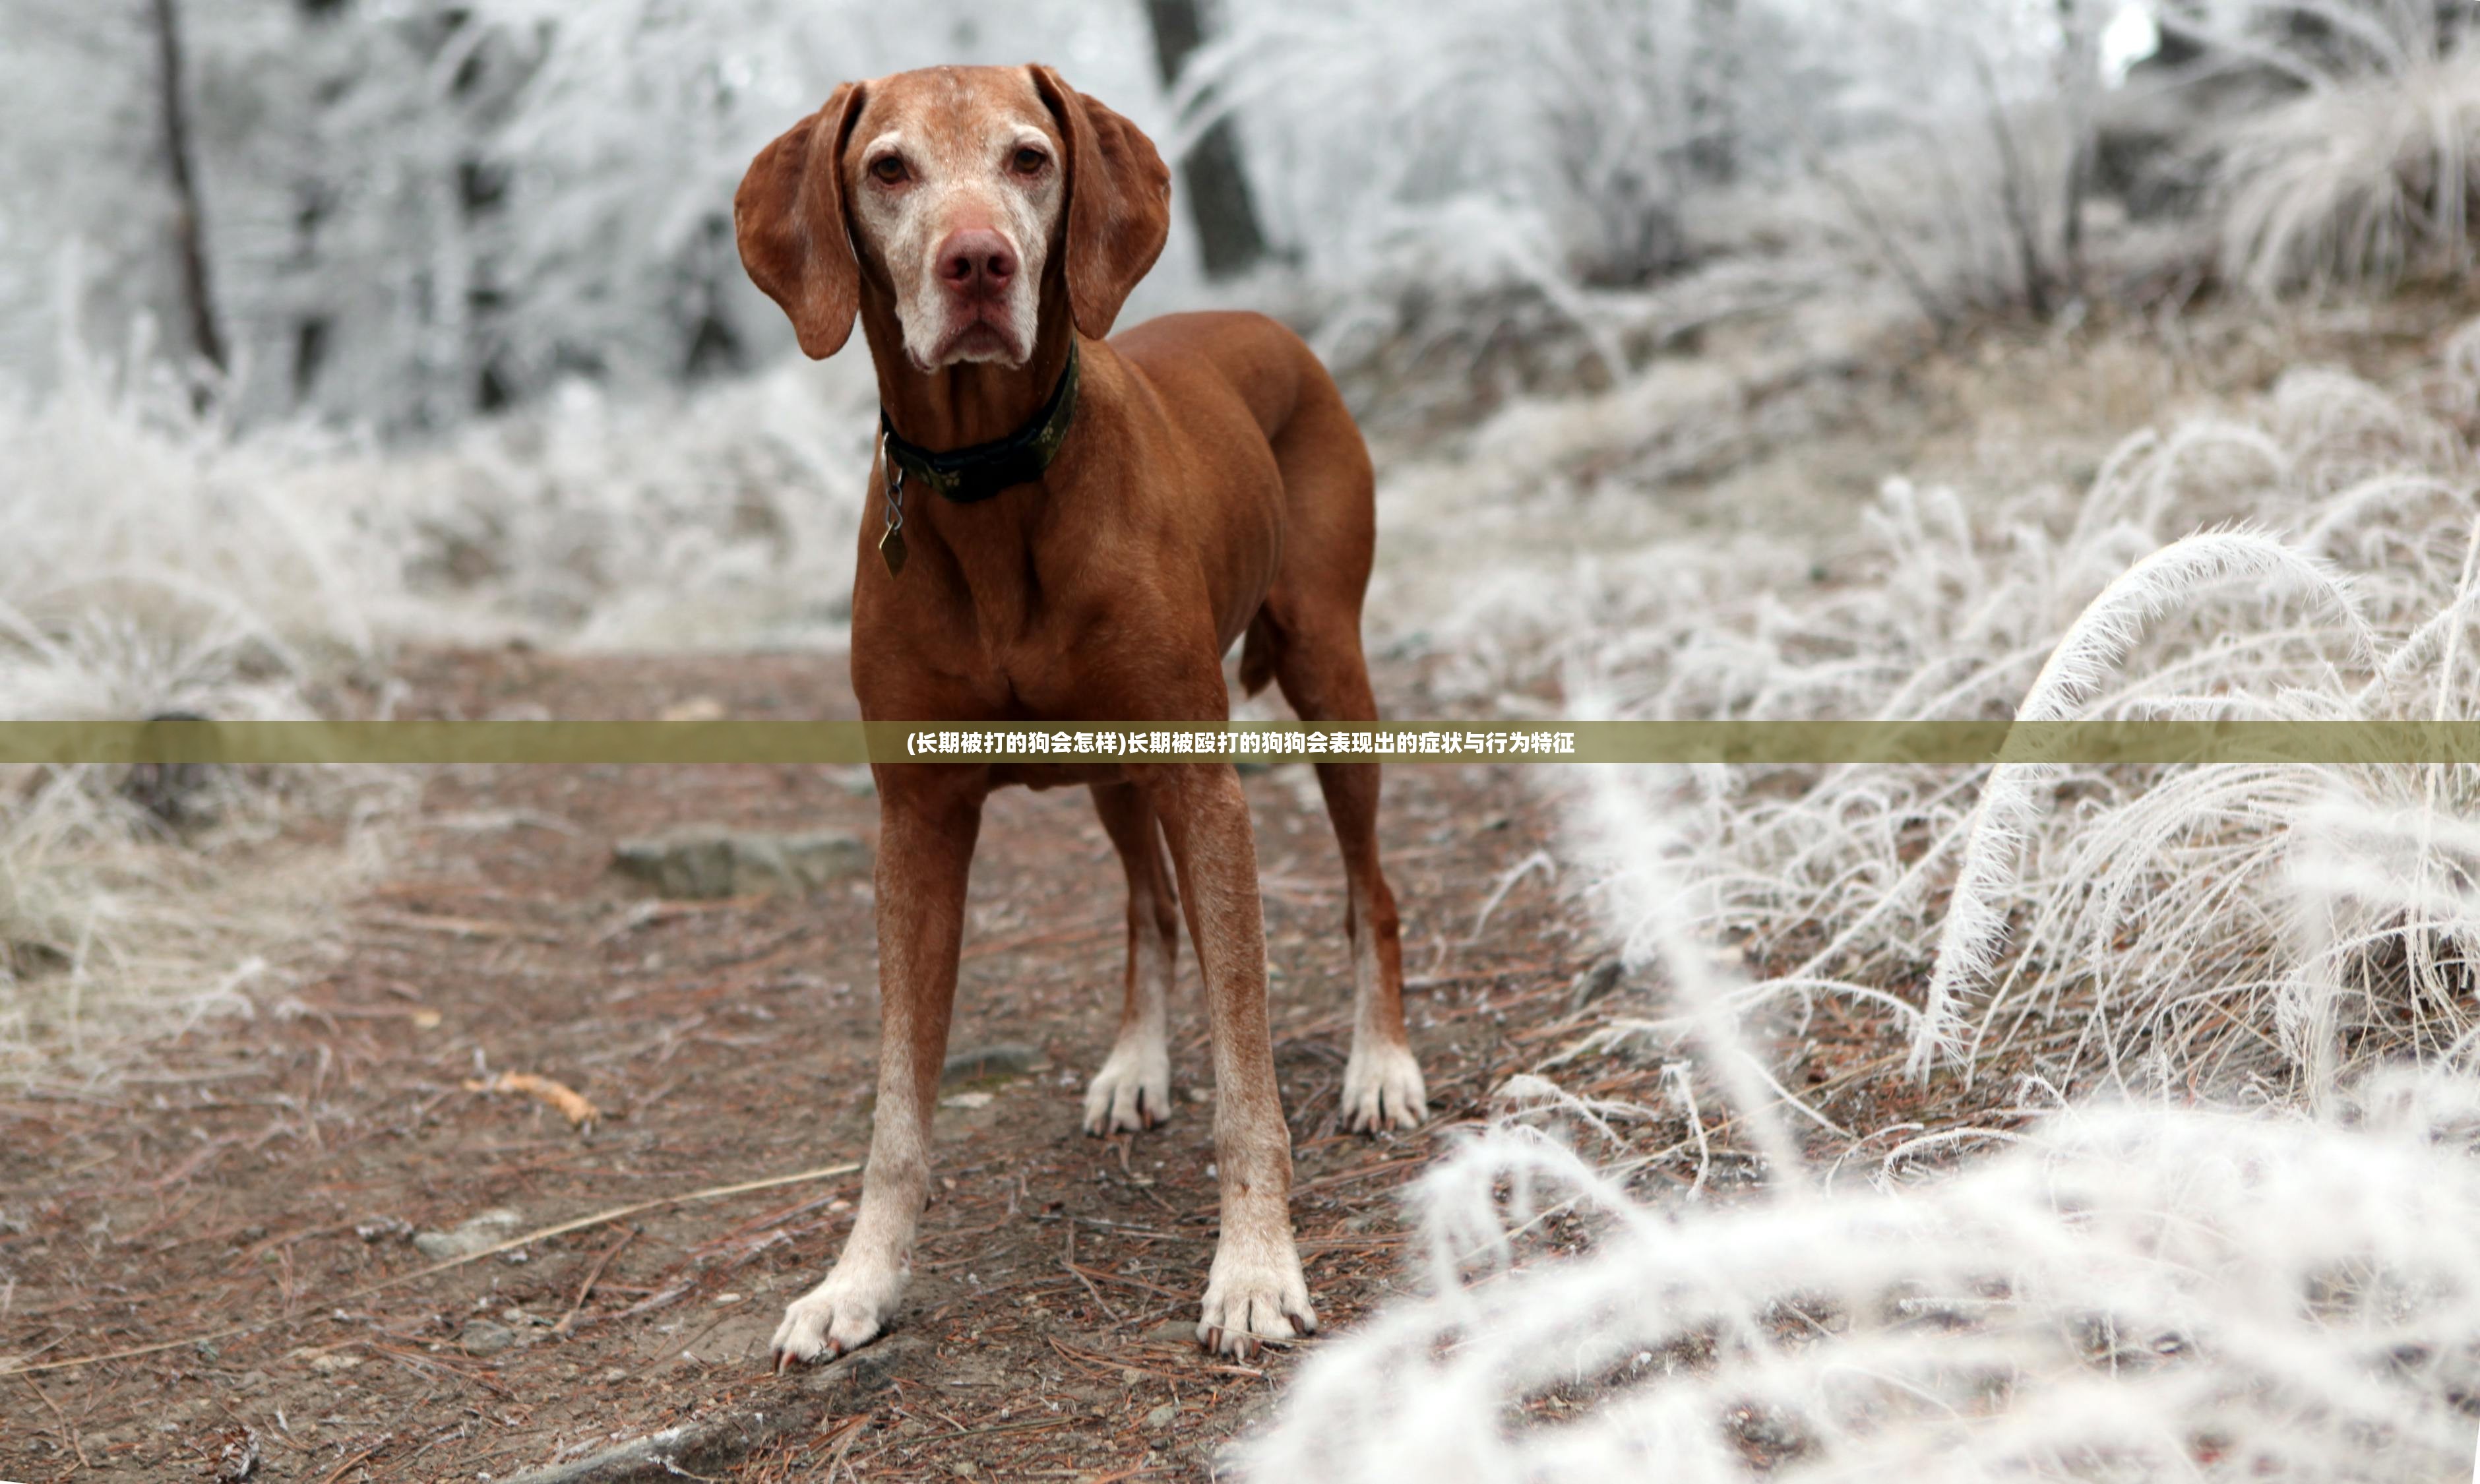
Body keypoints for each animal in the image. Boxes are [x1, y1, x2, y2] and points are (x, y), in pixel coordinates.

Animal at [733, 67, 1428, 1369]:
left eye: (1031, 159)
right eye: (888, 168)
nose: (977, 264)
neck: (992, 484)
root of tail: (1270, 324)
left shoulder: (1205, 787)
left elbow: (1249, 1073)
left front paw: (1254, 1269)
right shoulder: (917, 822)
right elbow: (898, 1106)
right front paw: (859, 1280)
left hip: (1330, 675)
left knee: (1373, 891)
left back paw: (1382, 1064)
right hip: (1114, 767)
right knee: (1146, 909)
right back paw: (1136, 1063)